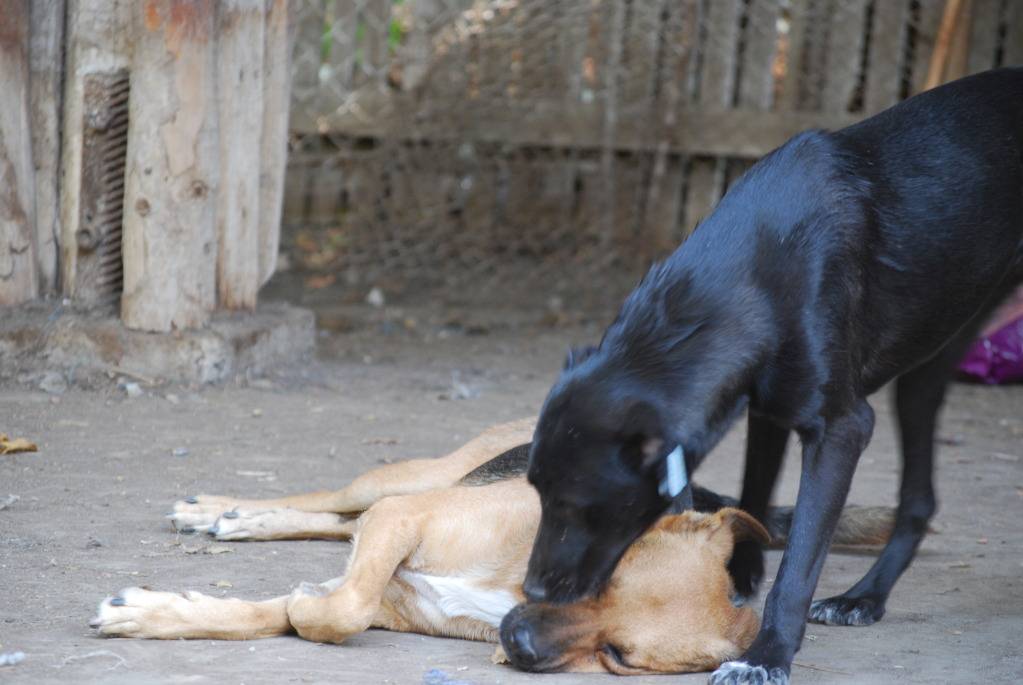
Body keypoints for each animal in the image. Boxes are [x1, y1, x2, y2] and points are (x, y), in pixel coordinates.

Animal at [90, 419, 887, 674]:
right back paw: (221, 511)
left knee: (340, 522)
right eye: (600, 581)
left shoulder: (392, 592)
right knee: (334, 500)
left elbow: (301, 610)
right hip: (411, 478)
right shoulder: (405, 518)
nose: (520, 642)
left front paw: (150, 613)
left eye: (618, 655)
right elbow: (336, 607)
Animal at [501, 66, 1023, 682]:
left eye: (584, 506)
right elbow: (750, 499)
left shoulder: (842, 429)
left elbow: (799, 561)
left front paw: (767, 652)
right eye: (536, 491)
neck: (752, 275)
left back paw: (864, 596)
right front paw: (737, 571)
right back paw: (865, 596)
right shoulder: (768, 406)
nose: (533, 588)